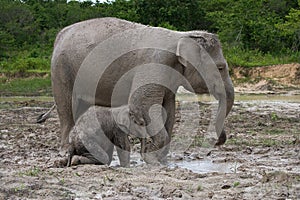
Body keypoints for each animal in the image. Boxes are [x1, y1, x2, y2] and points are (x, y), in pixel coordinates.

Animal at [51, 17, 234, 164]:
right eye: (221, 68)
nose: (218, 141)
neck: (180, 36)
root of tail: (60, 35)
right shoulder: (155, 64)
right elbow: (142, 104)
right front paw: (151, 159)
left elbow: (168, 109)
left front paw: (158, 159)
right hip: (61, 72)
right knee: (66, 109)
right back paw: (64, 152)